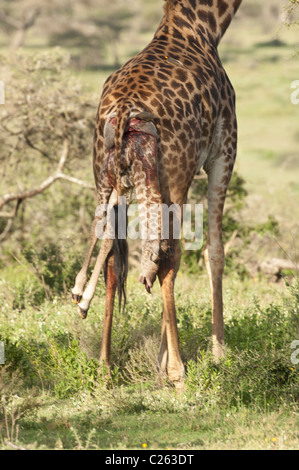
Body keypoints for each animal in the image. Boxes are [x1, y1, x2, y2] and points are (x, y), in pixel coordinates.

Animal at [72, 0, 244, 388]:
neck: (205, 26)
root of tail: (124, 111)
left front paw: (161, 362)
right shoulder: (223, 149)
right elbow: (214, 252)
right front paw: (217, 353)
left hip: (107, 175)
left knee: (115, 259)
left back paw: (104, 365)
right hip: (175, 177)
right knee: (168, 257)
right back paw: (178, 371)